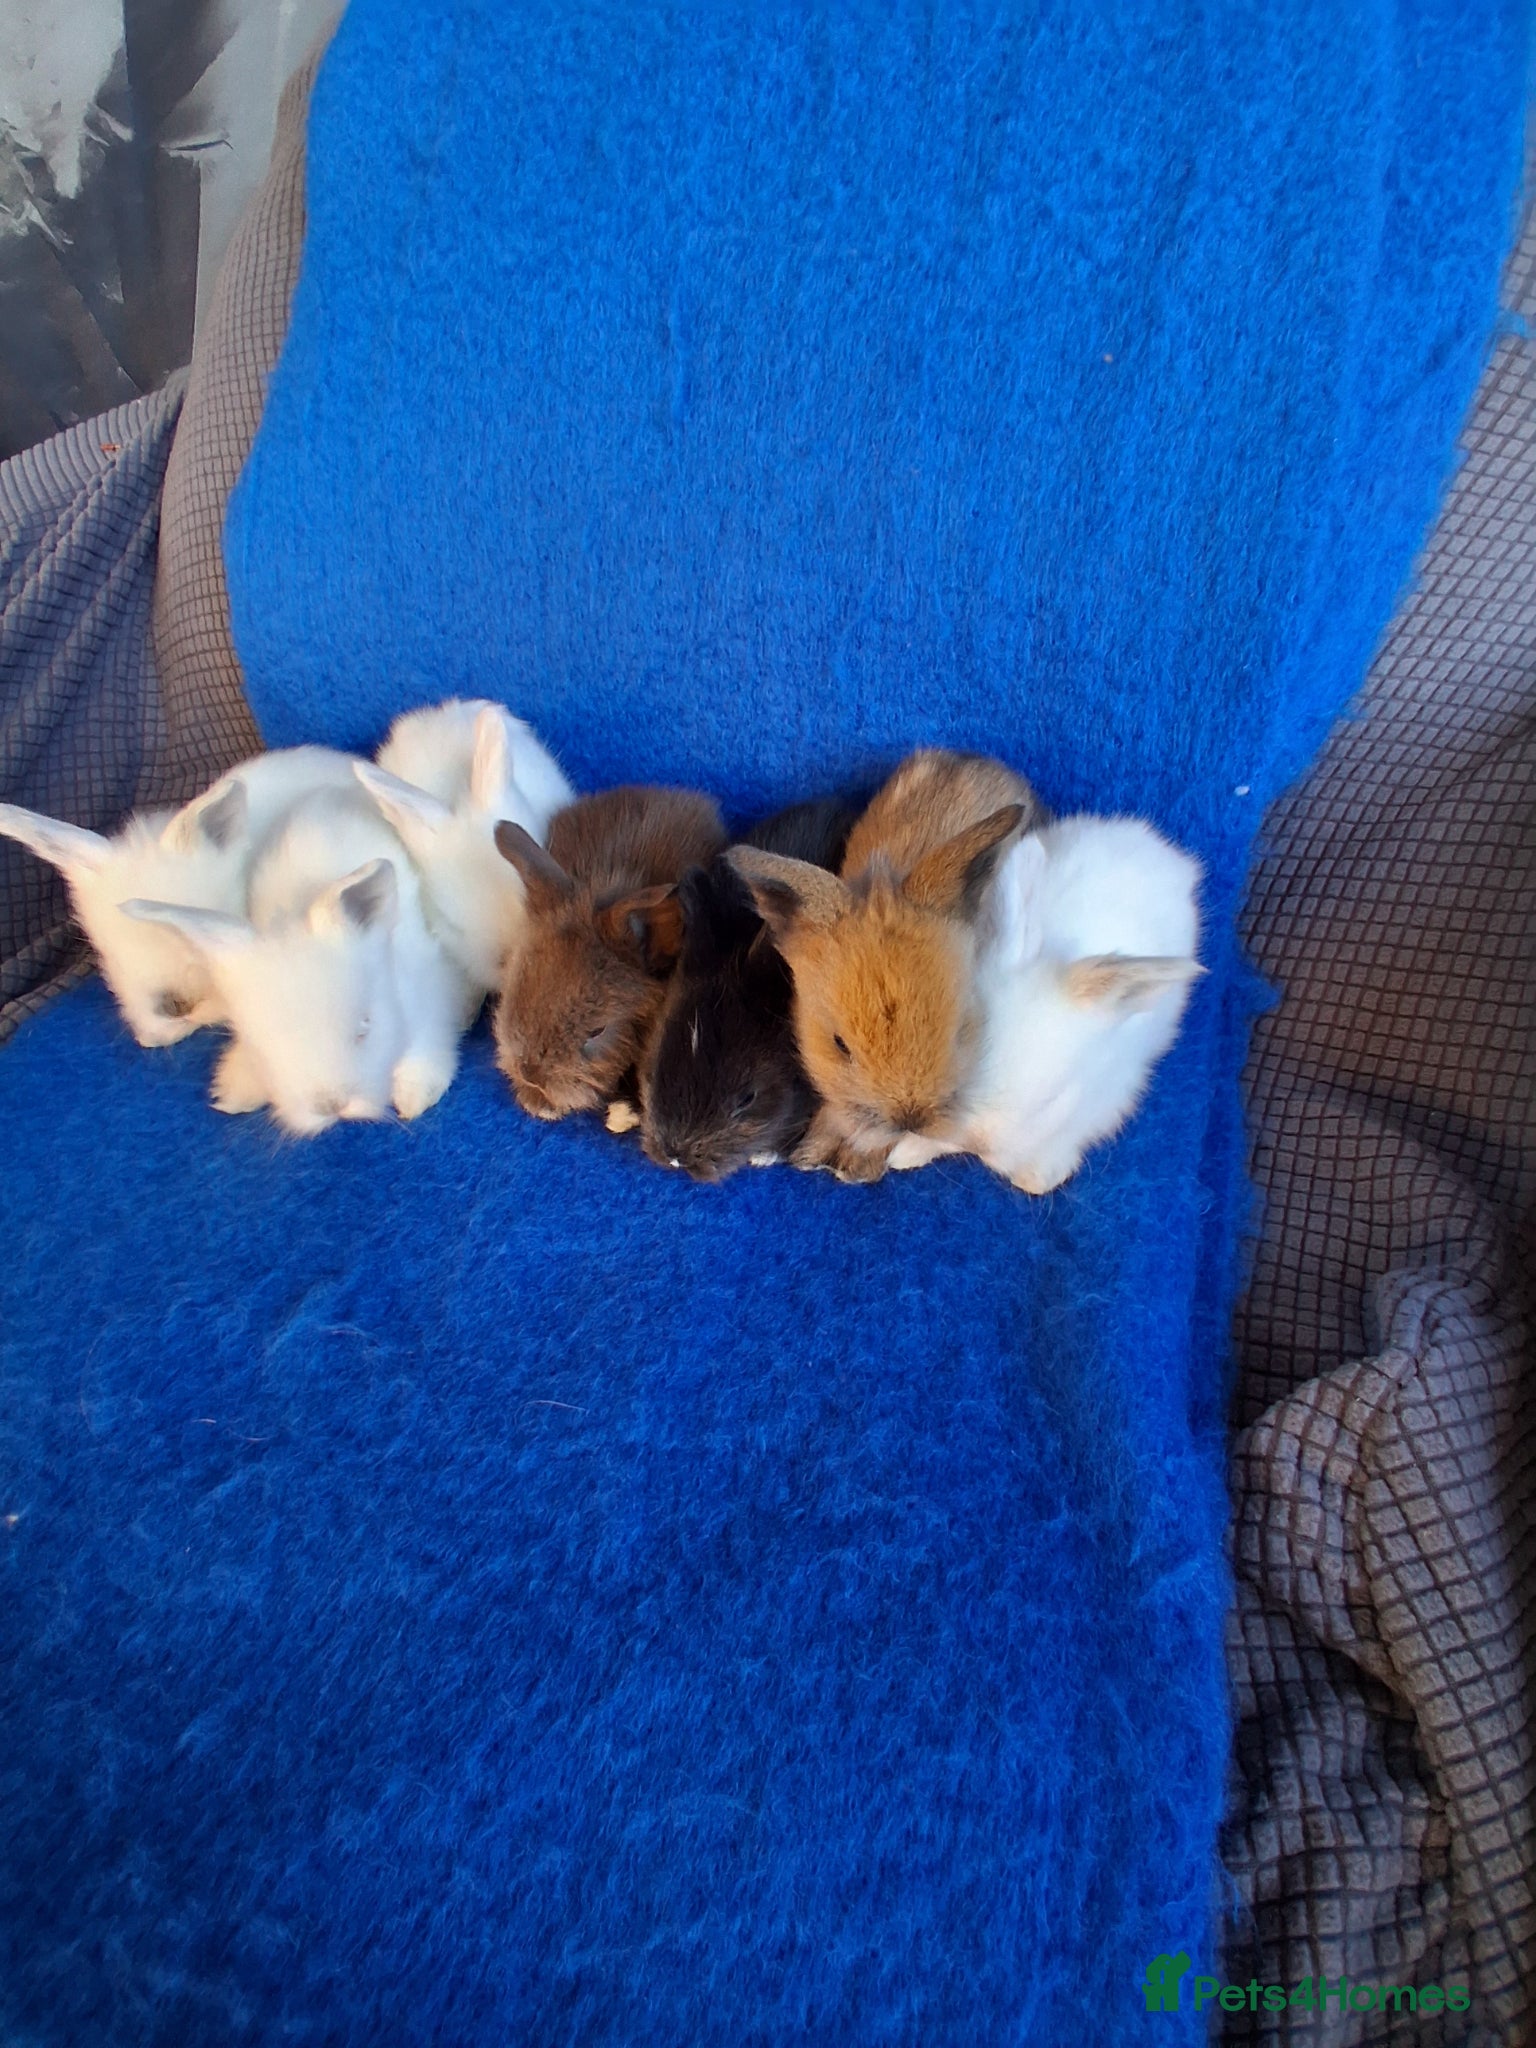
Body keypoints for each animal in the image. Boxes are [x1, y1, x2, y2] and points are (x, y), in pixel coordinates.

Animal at [124, 785, 477, 1135]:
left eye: (365, 1028)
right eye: (265, 1043)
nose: (331, 1105)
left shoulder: (429, 996)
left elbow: (426, 1046)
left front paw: (414, 1096)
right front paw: (235, 1090)